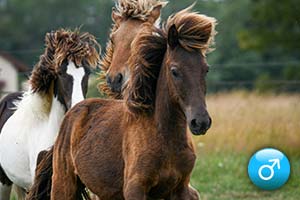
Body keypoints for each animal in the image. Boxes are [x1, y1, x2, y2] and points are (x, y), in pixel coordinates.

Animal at [28, 6, 216, 200]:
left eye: (206, 69)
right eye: (174, 71)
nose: (200, 122)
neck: (165, 137)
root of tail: (71, 114)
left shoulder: (181, 189)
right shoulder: (135, 188)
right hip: (63, 185)